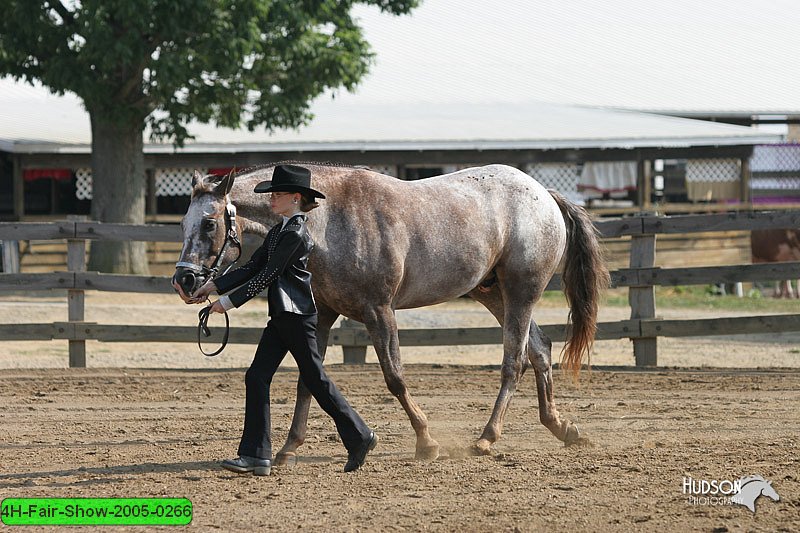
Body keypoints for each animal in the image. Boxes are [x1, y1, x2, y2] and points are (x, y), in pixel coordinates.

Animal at [172, 161, 608, 462]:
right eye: (182, 223)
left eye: (209, 223)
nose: (185, 281)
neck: (330, 221)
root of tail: (544, 194)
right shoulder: (322, 314)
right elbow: (308, 381)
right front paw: (288, 449)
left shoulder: (379, 311)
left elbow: (394, 377)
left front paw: (426, 442)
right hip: (494, 294)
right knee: (540, 350)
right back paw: (562, 428)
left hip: (521, 292)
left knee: (514, 362)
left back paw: (486, 438)